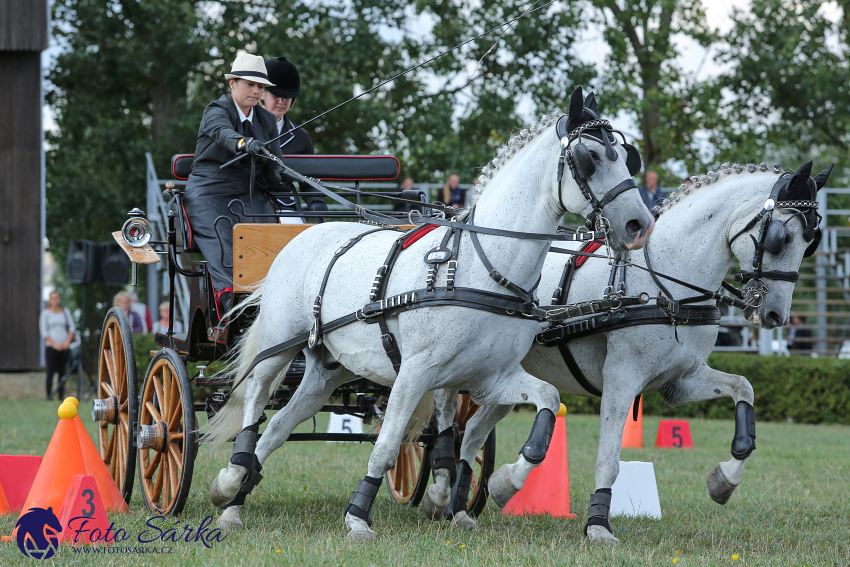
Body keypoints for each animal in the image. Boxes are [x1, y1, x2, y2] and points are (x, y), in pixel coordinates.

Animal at [202, 86, 652, 540]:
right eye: (590, 157)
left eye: (625, 155)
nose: (640, 224)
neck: (481, 267)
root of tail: (303, 233)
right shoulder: (414, 374)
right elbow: (386, 447)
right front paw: (358, 517)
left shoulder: (491, 377)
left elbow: (545, 404)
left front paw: (504, 483)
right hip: (278, 345)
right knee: (255, 403)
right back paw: (231, 480)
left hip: (327, 371)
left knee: (276, 428)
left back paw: (233, 504)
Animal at [424, 160, 828, 544]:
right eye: (782, 237)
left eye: (811, 241)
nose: (776, 315)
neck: (665, 283)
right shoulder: (622, 378)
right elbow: (609, 459)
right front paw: (598, 525)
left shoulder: (681, 381)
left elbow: (744, 388)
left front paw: (724, 481)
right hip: (463, 361)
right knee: (445, 413)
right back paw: (441, 489)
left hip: (504, 376)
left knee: (474, 431)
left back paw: (462, 506)